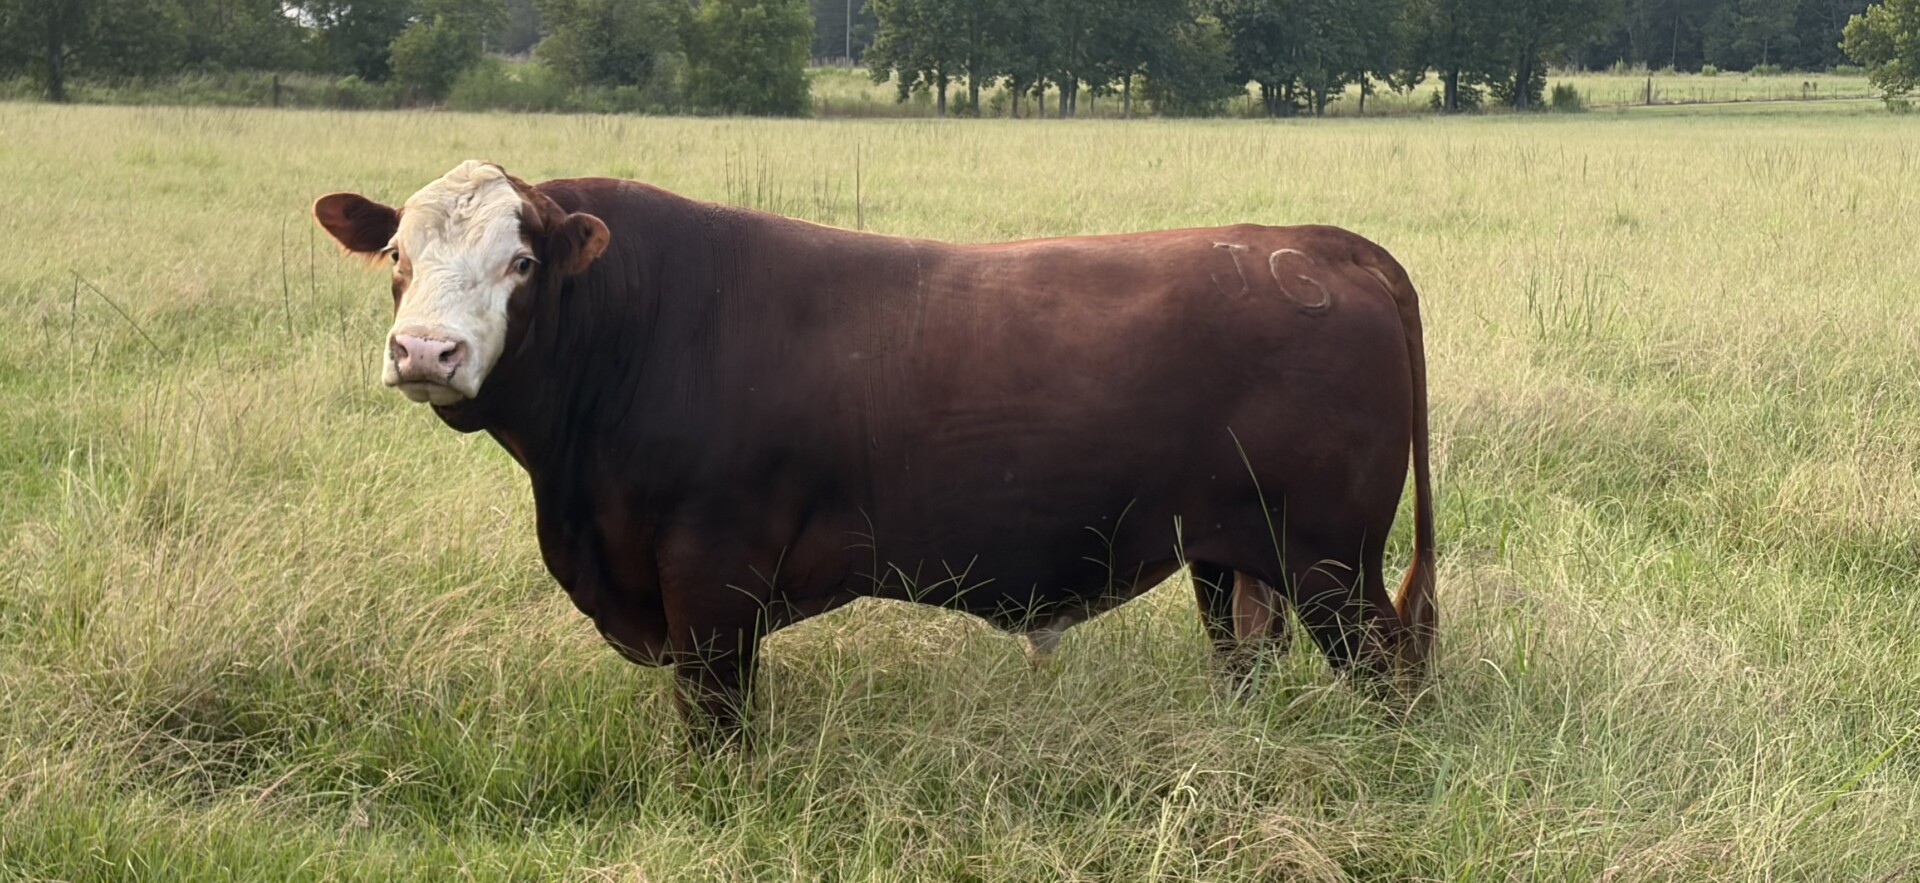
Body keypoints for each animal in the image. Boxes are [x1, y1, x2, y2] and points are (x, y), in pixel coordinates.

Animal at [312, 160, 1437, 744]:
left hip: (1331, 561)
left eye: (522, 261)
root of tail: (1317, 242)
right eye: (398, 255)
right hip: (1229, 554)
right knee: (1243, 657)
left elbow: (715, 724)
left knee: (1391, 668)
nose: (425, 351)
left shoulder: (710, 579)